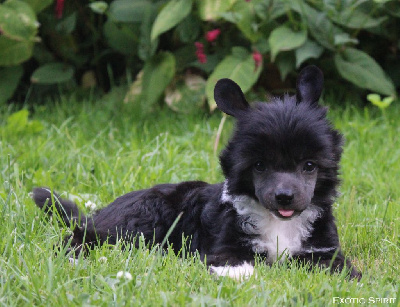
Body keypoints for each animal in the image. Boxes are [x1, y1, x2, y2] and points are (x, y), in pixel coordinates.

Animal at [32, 66, 360, 280]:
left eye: (309, 166)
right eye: (259, 165)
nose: (285, 197)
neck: (279, 223)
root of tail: (99, 212)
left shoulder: (323, 249)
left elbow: (335, 267)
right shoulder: (224, 244)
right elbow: (231, 261)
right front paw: (236, 273)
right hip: (139, 220)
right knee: (83, 236)